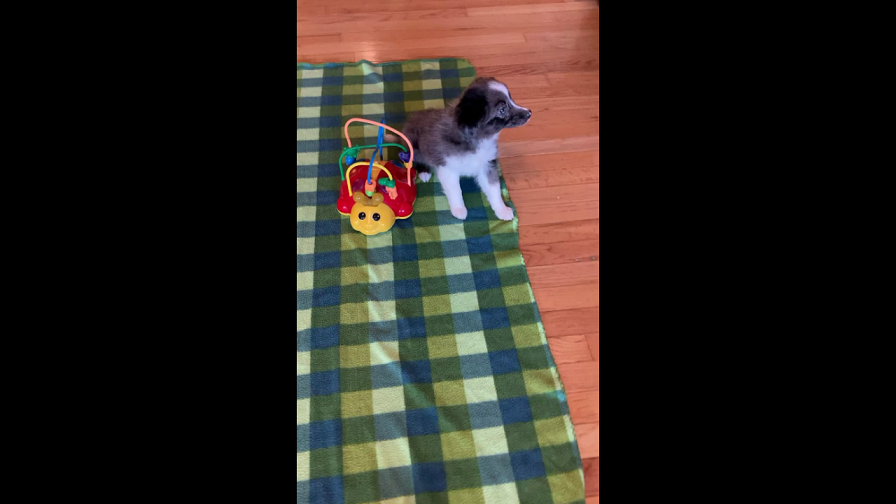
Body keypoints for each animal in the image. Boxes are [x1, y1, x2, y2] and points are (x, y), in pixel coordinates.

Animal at [400, 77, 532, 220]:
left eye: (511, 99)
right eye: (502, 110)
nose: (529, 113)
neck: (477, 138)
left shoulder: (487, 164)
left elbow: (494, 189)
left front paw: (501, 209)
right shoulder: (448, 168)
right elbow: (455, 190)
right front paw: (459, 210)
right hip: (413, 146)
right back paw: (424, 172)